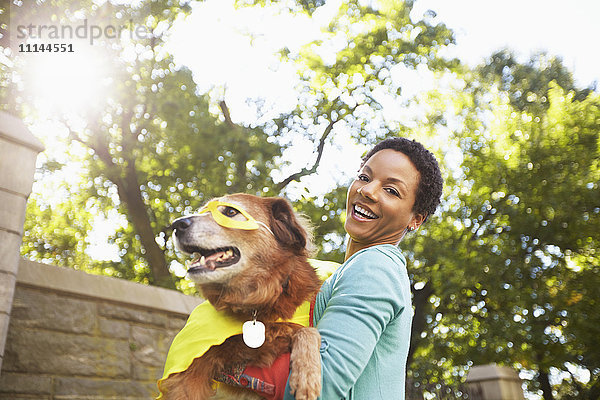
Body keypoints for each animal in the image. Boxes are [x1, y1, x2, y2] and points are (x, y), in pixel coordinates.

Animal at [157, 194, 322, 400]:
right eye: (203, 211)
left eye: (230, 211)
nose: (176, 225)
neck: (256, 303)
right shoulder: (189, 370)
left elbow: (307, 330)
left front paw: (307, 375)